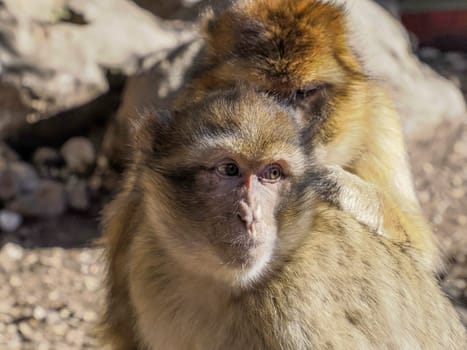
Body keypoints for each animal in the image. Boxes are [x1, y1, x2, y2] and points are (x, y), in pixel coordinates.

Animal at [175, 0, 438, 270]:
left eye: (303, 93)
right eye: (266, 93)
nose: (285, 123)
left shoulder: (381, 120)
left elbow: (421, 248)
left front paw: (334, 183)